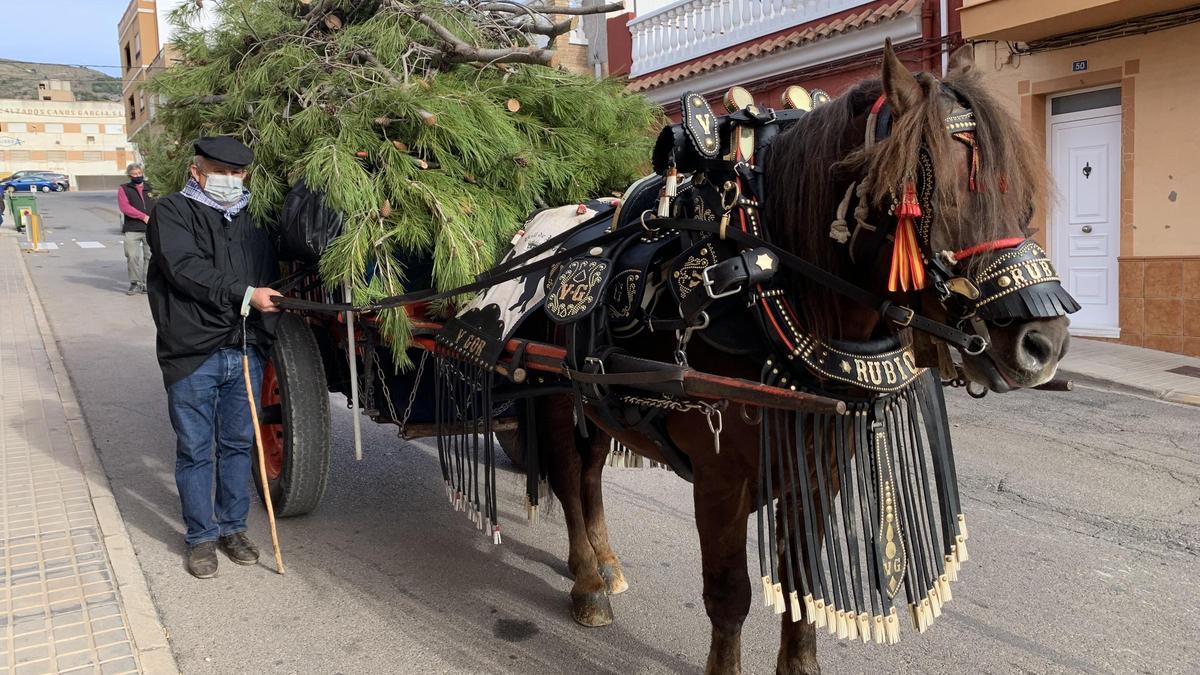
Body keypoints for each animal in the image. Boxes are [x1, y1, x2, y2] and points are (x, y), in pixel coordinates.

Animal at [540, 43, 1075, 672]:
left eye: (1019, 192)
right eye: (937, 193)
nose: (1043, 342)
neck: (764, 288)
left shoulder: (819, 470)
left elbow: (803, 582)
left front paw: (800, 661)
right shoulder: (720, 478)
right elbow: (729, 595)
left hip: (596, 404)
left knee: (591, 474)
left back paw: (606, 565)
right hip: (554, 398)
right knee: (570, 480)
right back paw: (588, 584)